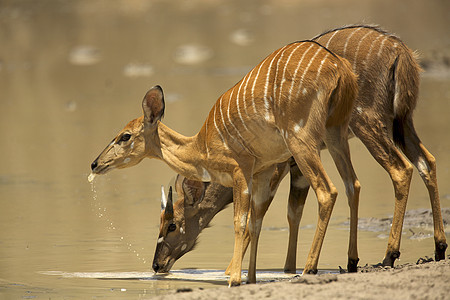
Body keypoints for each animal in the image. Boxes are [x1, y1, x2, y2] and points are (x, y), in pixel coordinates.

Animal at [90, 40, 358, 286]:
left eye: (125, 136)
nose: (94, 164)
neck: (203, 145)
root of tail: (339, 68)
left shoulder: (242, 170)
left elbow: (240, 222)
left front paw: (235, 279)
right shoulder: (263, 171)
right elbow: (256, 223)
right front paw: (250, 278)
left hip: (301, 141)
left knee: (327, 191)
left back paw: (309, 269)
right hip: (336, 132)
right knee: (352, 184)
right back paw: (351, 262)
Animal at [151, 24, 446, 276]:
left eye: (172, 223)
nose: (156, 265)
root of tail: (400, 50)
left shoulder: (275, 165)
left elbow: (258, 215)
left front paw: (231, 272)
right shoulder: (294, 165)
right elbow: (294, 213)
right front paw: (288, 268)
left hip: (367, 123)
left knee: (401, 169)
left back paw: (388, 255)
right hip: (401, 123)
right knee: (426, 162)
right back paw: (437, 248)